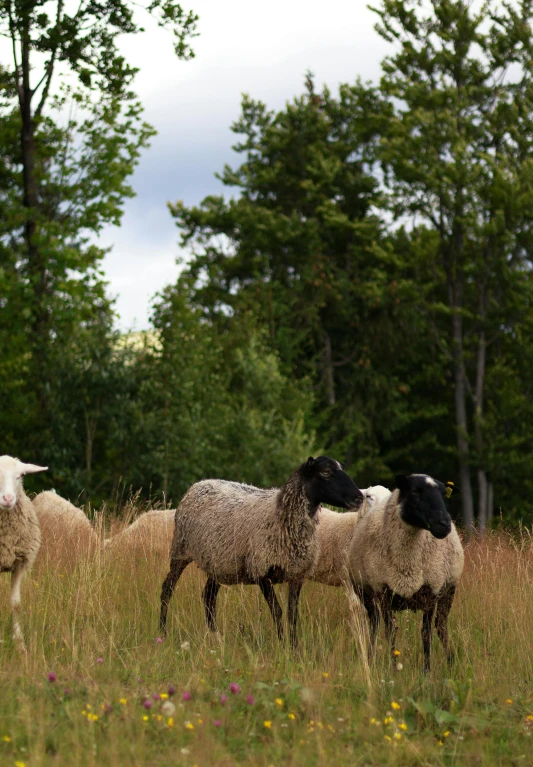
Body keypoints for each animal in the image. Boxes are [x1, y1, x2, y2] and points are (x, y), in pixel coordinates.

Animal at [160, 456, 364, 648]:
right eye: (326, 472)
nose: (359, 498)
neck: (281, 515)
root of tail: (199, 484)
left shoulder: (297, 575)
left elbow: (293, 615)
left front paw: (294, 648)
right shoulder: (261, 571)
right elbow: (277, 611)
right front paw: (282, 647)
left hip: (219, 563)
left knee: (209, 597)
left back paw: (215, 639)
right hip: (180, 550)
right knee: (167, 589)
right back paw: (163, 633)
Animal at [348, 474, 464, 672]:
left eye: (443, 494)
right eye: (415, 491)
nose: (444, 525)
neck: (407, 563)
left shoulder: (431, 590)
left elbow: (426, 633)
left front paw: (426, 671)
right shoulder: (383, 591)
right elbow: (390, 630)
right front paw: (393, 669)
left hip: (449, 590)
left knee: (441, 625)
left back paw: (450, 662)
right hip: (364, 591)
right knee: (374, 623)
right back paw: (369, 659)